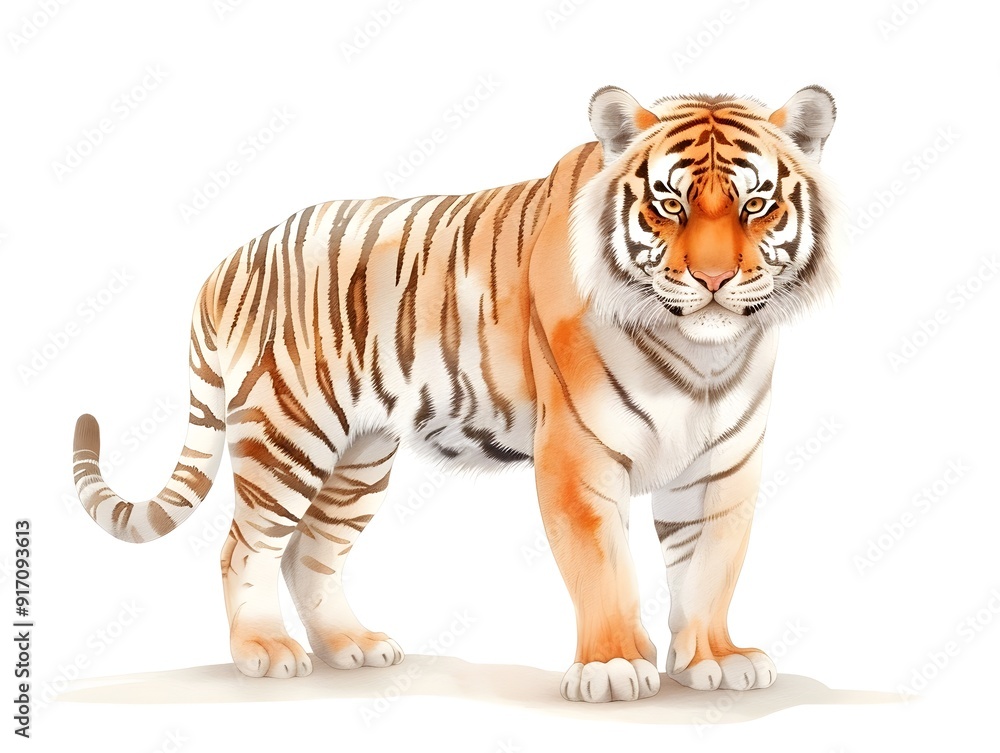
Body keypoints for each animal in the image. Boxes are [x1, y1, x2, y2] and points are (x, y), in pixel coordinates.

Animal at [72, 84, 838, 703]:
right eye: (669, 204)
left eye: (757, 204)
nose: (713, 279)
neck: (703, 355)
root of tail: (232, 258)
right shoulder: (578, 454)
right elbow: (604, 568)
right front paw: (615, 667)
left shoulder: (723, 465)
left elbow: (710, 567)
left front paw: (716, 659)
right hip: (287, 432)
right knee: (246, 547)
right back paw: (264, 650)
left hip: (358, 457)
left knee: (308, 550)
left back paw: (350, 646)